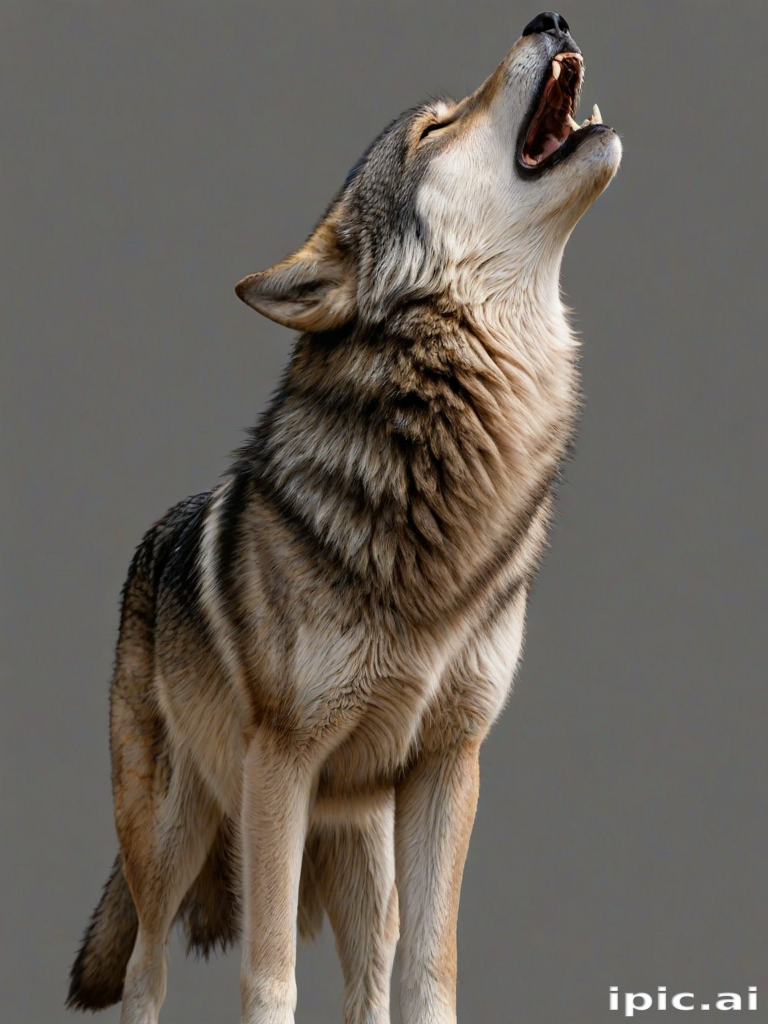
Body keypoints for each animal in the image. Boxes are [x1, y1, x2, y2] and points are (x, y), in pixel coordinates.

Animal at [67, 11, 620, 1024]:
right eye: (434, 130)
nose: (548, 18)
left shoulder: (449, 762)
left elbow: (430, 969)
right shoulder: (280, 766)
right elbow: (270, 969)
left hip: (362, 846)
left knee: (370, 971)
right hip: (173, 834)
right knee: (144, 969)